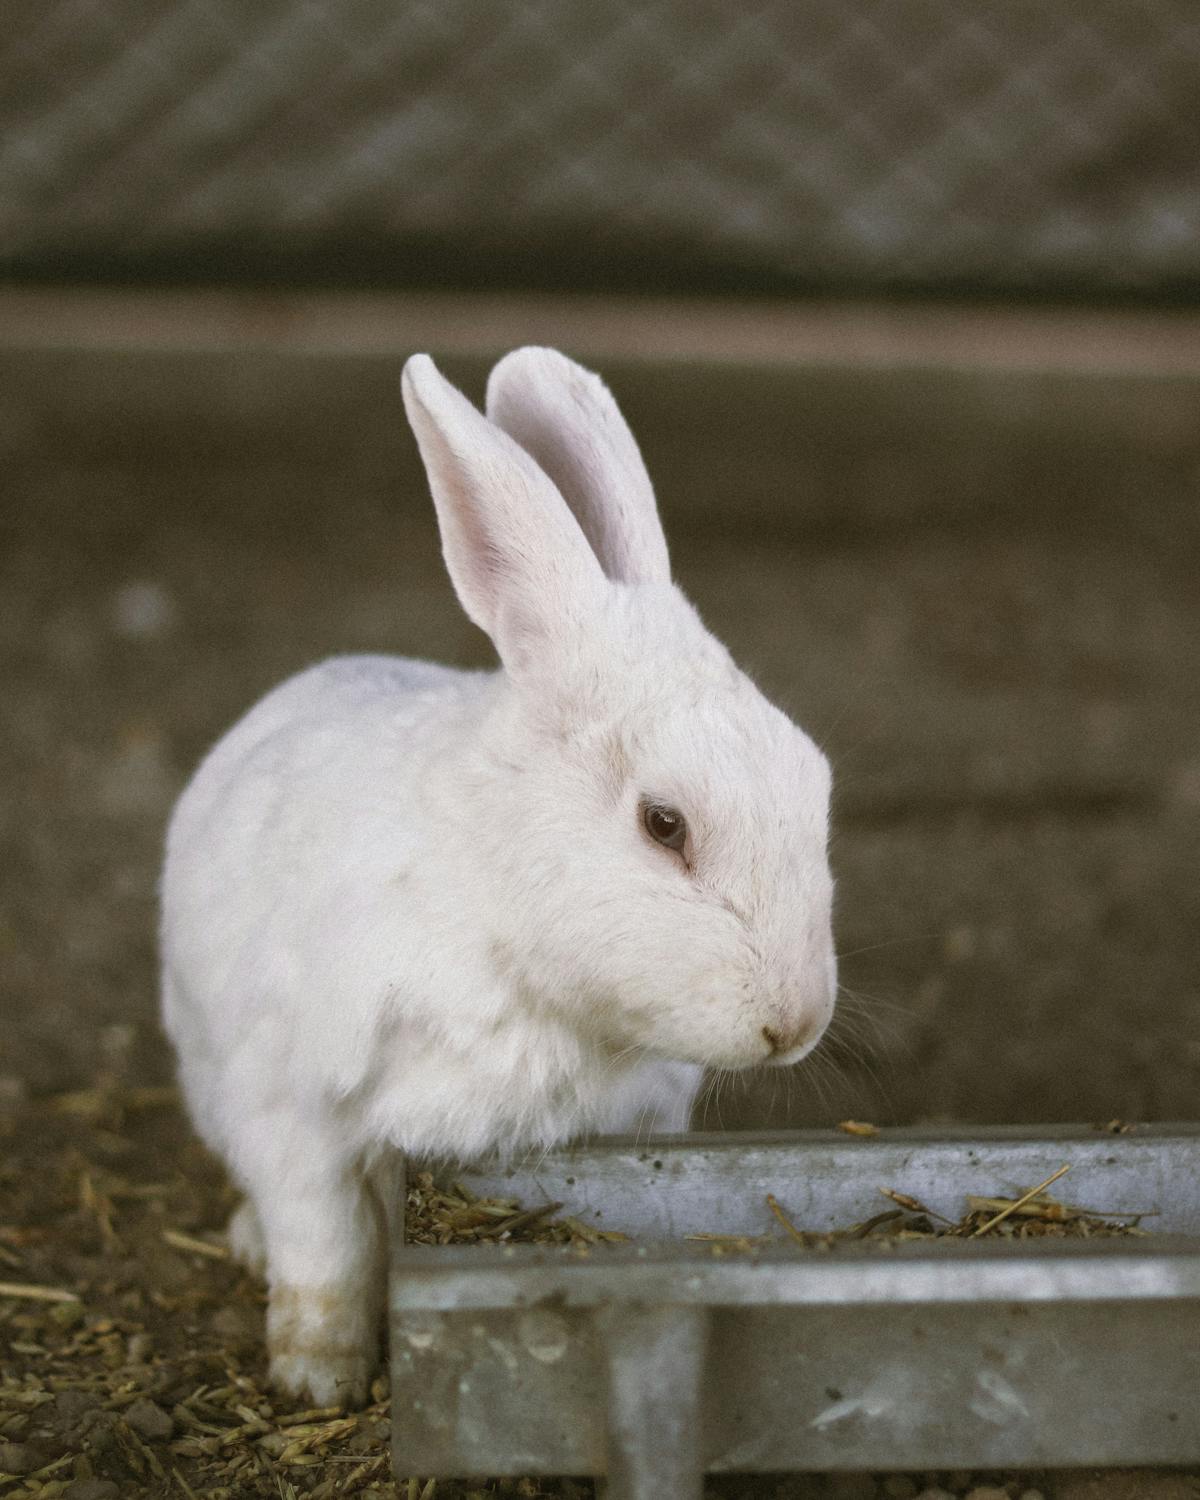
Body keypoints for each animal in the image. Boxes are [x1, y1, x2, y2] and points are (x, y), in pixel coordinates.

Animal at [160, 347, 837, 1407]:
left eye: (817, 779)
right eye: (664, 824)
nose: (796, 1022)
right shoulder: (295, 1110)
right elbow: (325, 1251)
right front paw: (318, 1378)